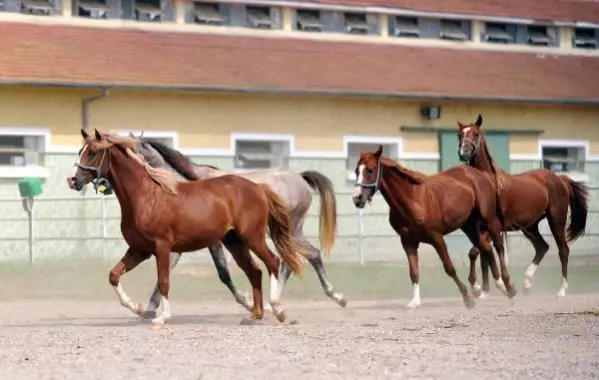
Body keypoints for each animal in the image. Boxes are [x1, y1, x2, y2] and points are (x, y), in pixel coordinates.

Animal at [68, 129, 308, 326]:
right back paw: (254, 315)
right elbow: (114, 275)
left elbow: (163, 281)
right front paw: (138, 308)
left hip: (252, 237)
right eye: (81, 150)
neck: (146, 196)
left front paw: (161, 317)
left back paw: (278, 310)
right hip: (234, 241)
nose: (72, 180)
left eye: (92, 152)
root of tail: (259, 188)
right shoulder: (140, 250)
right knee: (255, 271)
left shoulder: (162, 247)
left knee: (273, 262)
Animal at [126, 137, 344, 318]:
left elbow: (223, 273)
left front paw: (247, 302)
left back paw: (331, 296)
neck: (182, 185)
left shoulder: (211, 241)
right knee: (295, 260)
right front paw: (149, 309)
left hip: (289, 231)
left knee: (306, 256)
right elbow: (167, 270)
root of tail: (300, 178)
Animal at [352, 145, 516, 308]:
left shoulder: (436, 237)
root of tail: (482, 175)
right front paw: (415, 302)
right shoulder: (408, 241)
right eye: (356, 171)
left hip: (489, 221)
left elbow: (449, 267)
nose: (357, 198)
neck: (412, 199)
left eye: (370, 170)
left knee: (498, 248)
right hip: (469, 226)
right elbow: (413, 272)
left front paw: (467, 299)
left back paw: (508, 286)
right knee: (486, 249)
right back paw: (491, 288)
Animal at [458, 114, 588, 298]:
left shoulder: (494, 228)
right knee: (542, 247)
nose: (463, 152)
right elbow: (482, 255)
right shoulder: (482, 229)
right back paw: (527, 283)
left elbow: (477, 252)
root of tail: (560, 178)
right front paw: (484, 290)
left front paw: (480, 288)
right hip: (530, 226)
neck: (488, 183)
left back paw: (562, 290)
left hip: (556, 221)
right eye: (460, 135)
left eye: (475, 134)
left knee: (563, 251)